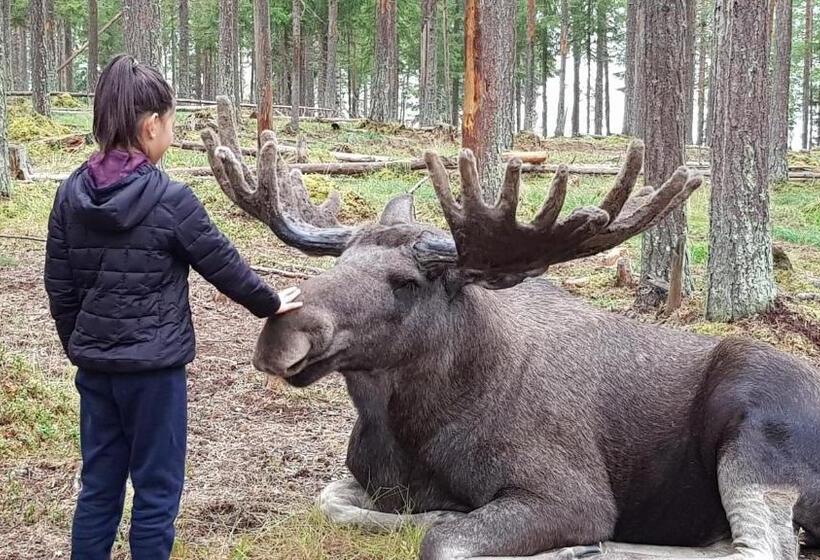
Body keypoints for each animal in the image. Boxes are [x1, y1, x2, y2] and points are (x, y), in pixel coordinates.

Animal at [202, 97, 820, 560]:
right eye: (340, 262)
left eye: (406, 282)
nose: (281, 335)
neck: (409, 427)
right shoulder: (362, 479)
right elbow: (340, 503)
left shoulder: (571, 494)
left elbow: (441, 539)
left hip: (757, 424)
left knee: (757, 548)